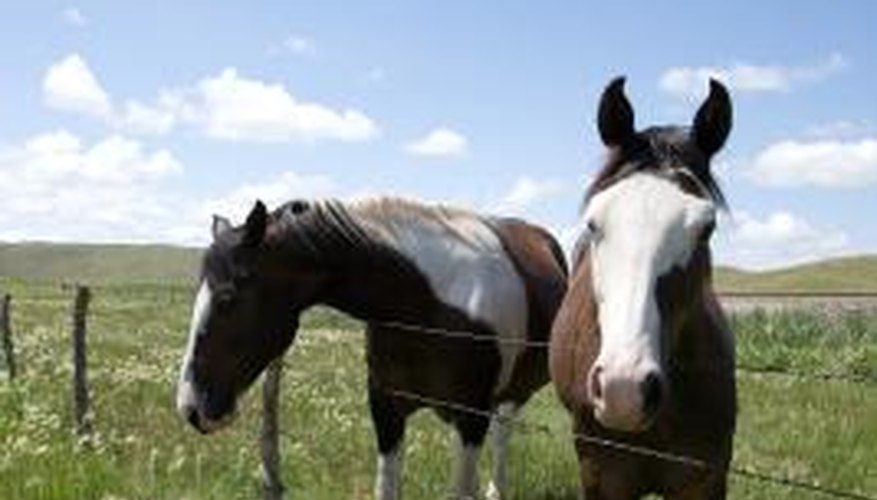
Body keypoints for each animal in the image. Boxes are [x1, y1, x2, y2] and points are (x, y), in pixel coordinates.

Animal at [175, 197, 568, 498]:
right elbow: (387, 488)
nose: (190, 407)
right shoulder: (386, 408)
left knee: (503, 433)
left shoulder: (470, 418)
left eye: (227, 299)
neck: (422, 301)